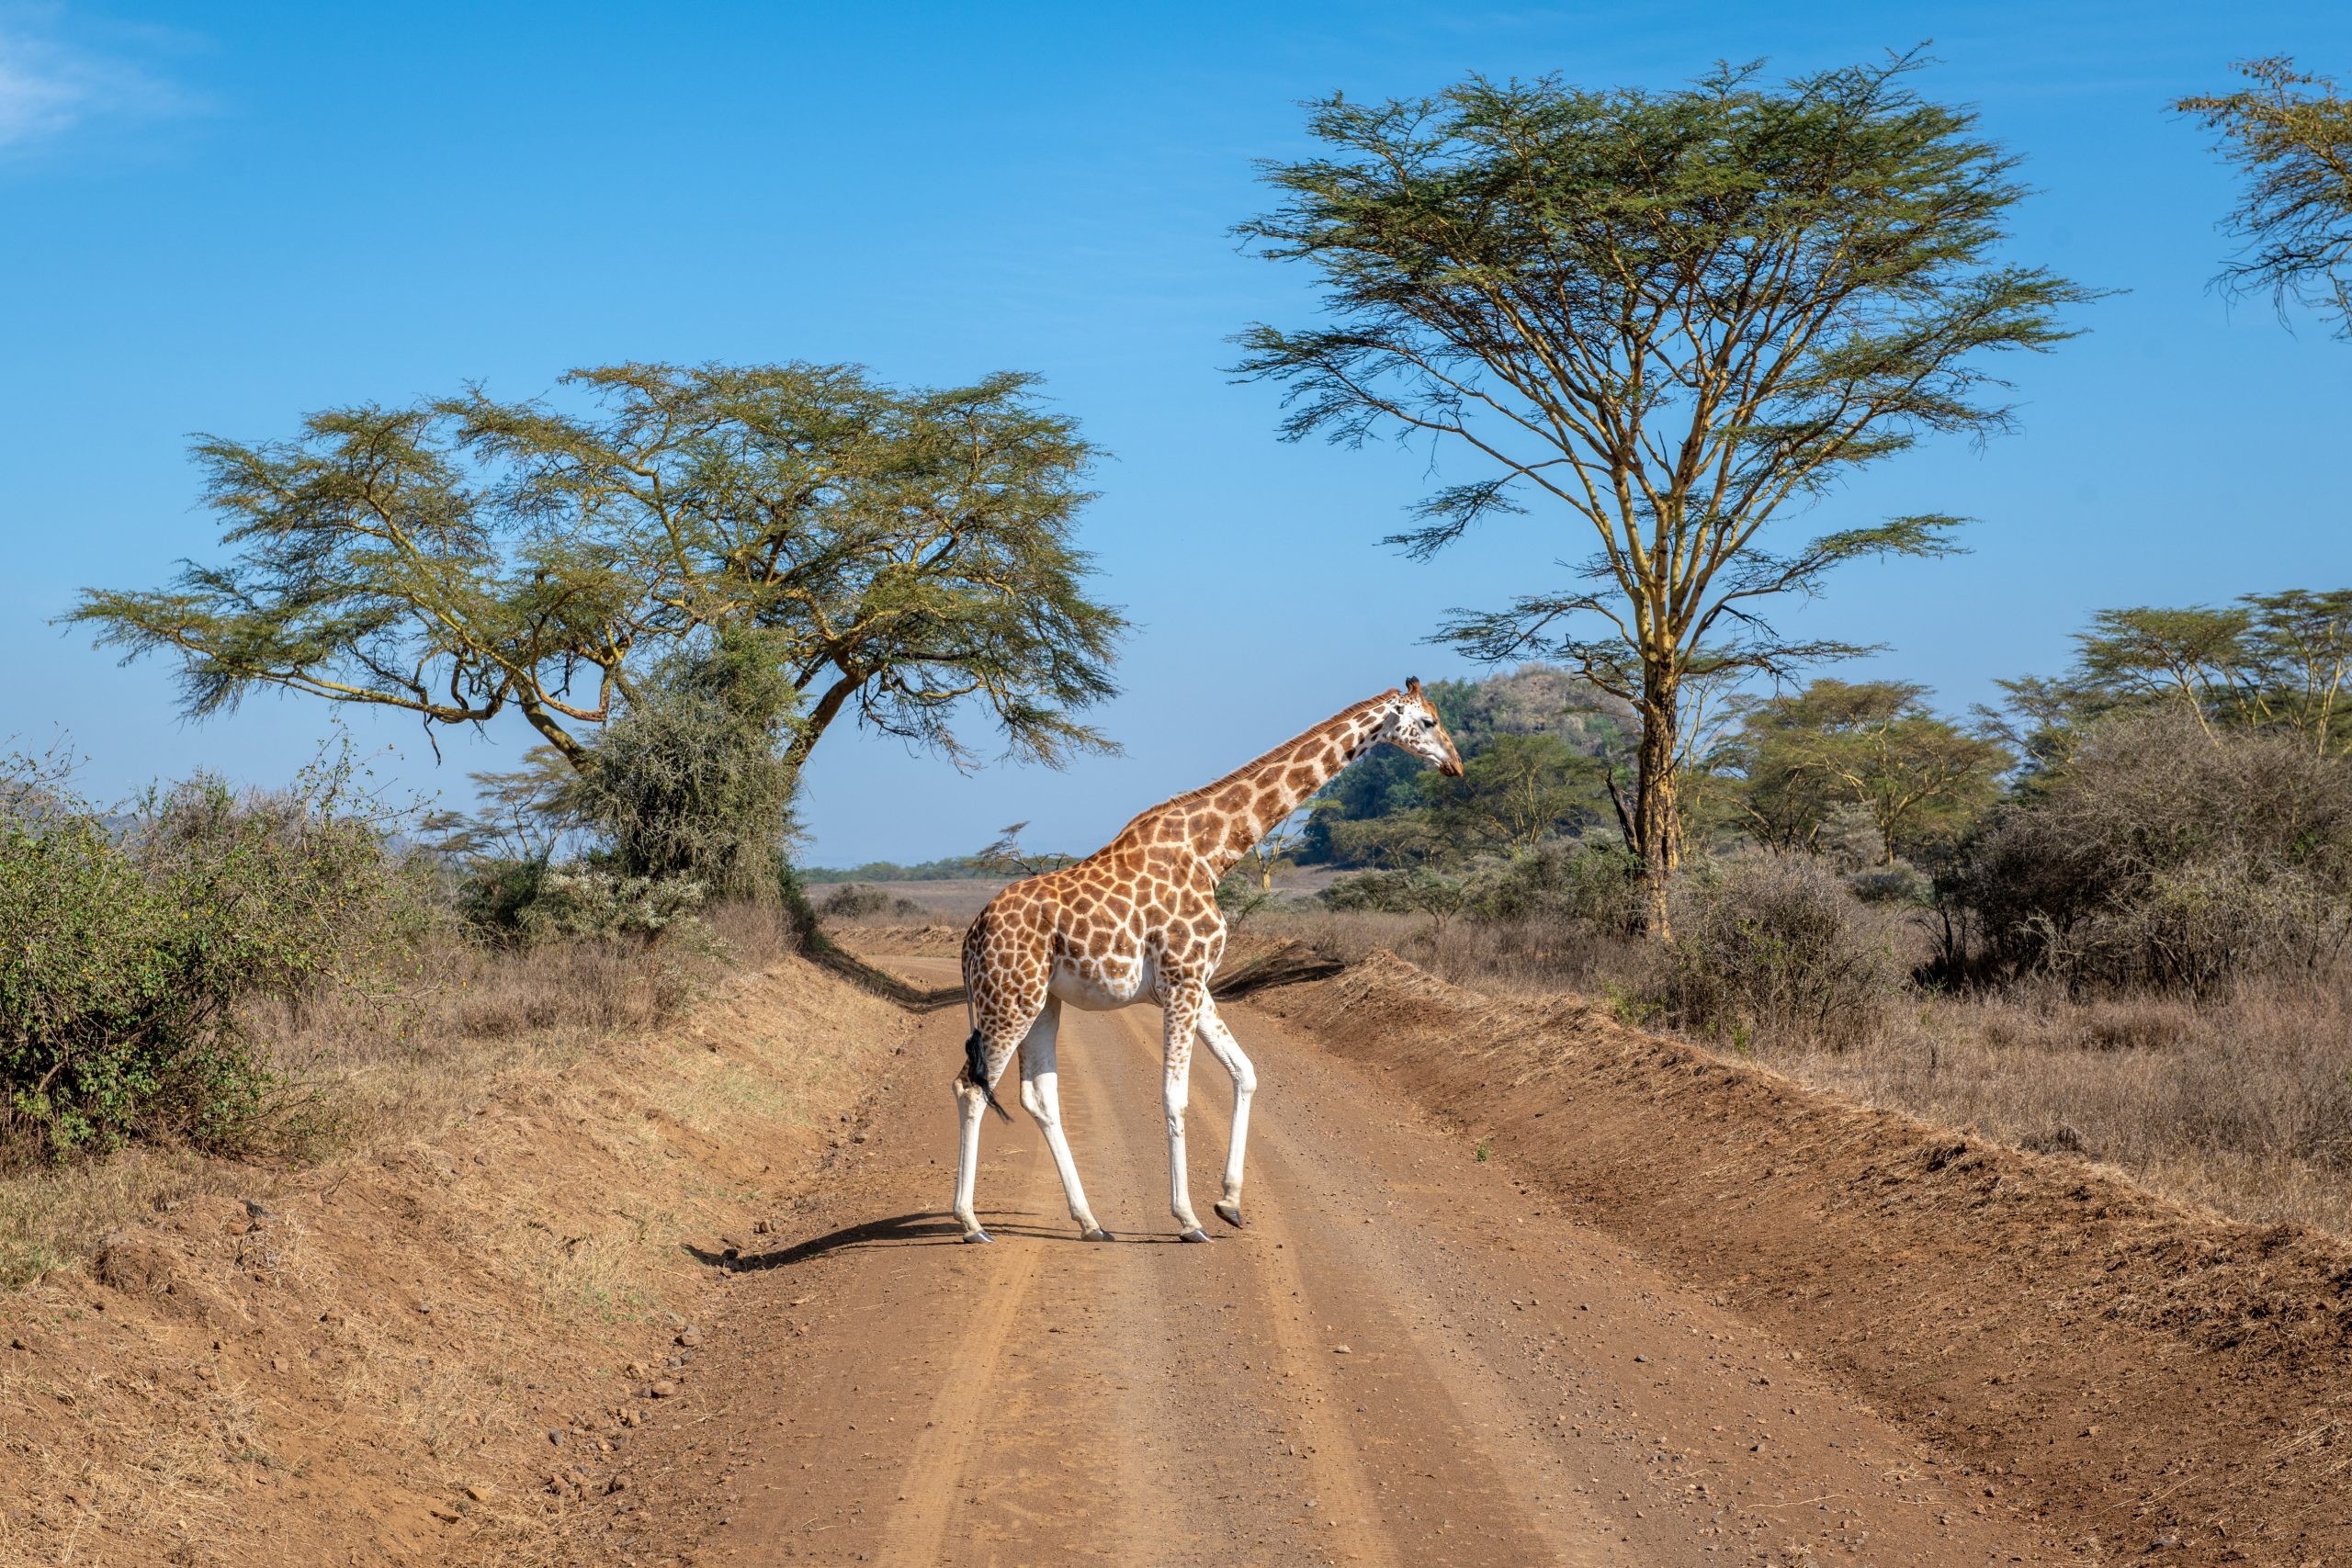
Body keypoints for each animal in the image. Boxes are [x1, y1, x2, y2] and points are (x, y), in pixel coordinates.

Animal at [951, 679, 1464, 1243]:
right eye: (1429, 721)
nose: (1456, 765)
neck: (1214, 852)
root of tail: (971, 937)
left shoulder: (1197, 984)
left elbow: (1246, 1073)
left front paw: (1230, 1202)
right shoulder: (1182, 980)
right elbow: (1176, 1096)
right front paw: (1189, 1218)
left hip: (1042, 1002)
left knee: (1039, 1098)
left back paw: (1089, 1222)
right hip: (1008, 1001)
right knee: (970, 1088)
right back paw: (971, 1223)